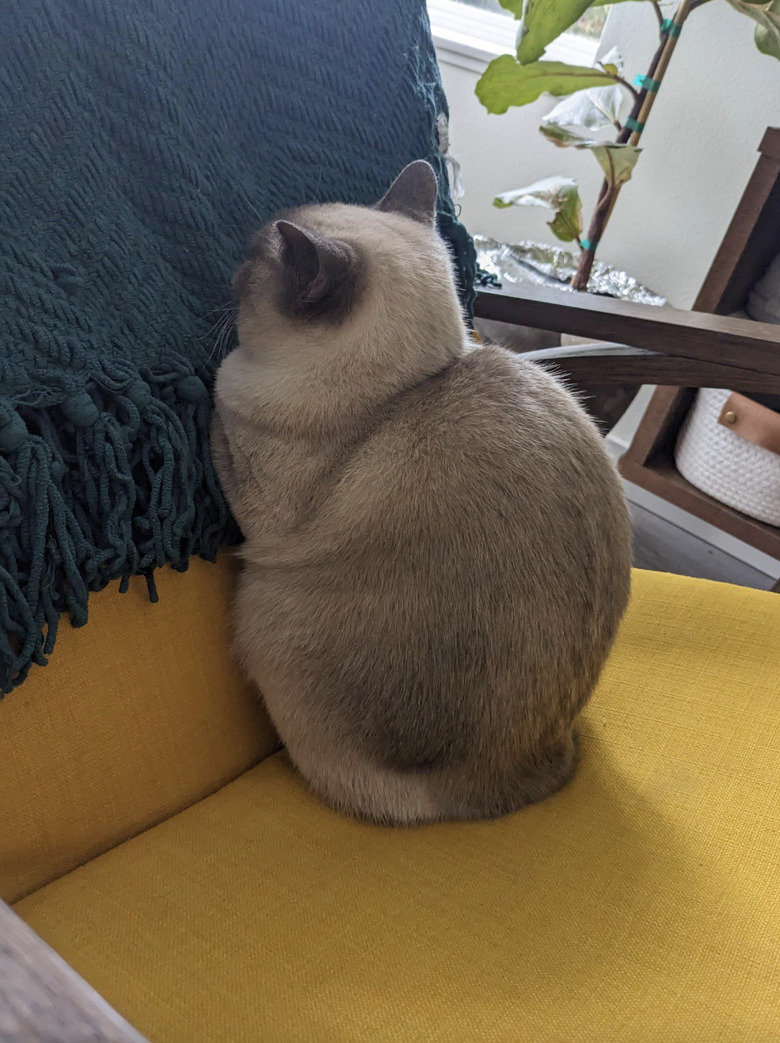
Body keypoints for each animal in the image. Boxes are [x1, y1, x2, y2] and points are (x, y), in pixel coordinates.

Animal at [210, 160, 629, 821]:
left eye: (251, 262)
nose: (226, 274)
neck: (410, 384)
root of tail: (517, 780)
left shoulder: (256, 494)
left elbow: (215, 400)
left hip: (261, 604)